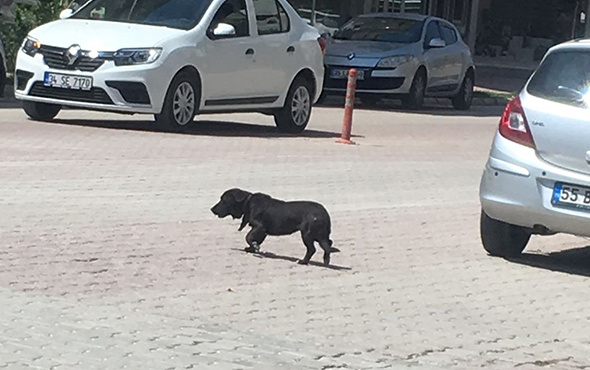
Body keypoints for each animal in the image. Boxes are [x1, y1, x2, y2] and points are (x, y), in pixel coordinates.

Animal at [213, 188, 342, 266]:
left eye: (223, 200)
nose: (212, 209)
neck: (247, 203)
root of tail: (324, 213)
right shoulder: (262, 231)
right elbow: (255, 239)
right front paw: (252, 248)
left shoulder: (259, 227)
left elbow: (248, 237)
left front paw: (254, 246)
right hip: (320, 235)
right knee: (328, 245)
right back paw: (326, 261)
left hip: (307, 234)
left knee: (312, 249)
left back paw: (303, 261)